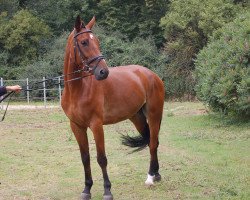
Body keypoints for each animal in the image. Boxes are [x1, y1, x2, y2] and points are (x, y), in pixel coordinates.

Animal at [61, 16, 165, 200]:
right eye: (84, 42)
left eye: (97, 41)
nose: (103, 72)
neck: (78, 89)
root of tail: (152, 75)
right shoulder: (77, 126)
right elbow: (85, 158)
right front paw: (86, 189)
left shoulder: (96, 125)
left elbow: (101, 158)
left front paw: (107, 190)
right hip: (137, 117)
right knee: (152, 141)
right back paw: (156, 174)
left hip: (154, 115)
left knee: (153, 143)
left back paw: (150, 178)